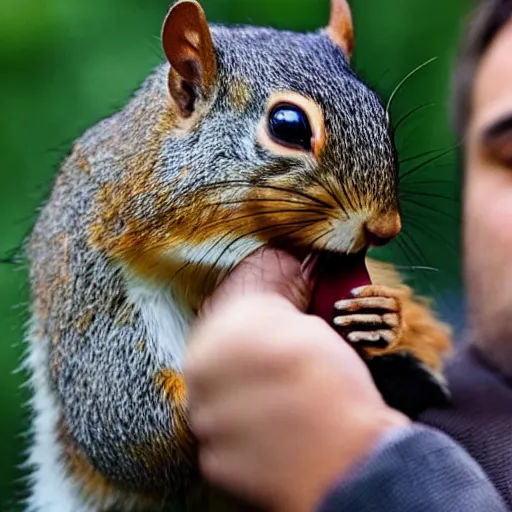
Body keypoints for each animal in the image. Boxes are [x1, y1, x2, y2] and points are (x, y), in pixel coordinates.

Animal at [26, 0, 452, 510]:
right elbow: (125, 424)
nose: (384, 227)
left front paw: (381, 314)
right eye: (288, 125)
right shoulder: (96, 286)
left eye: (382, 118)